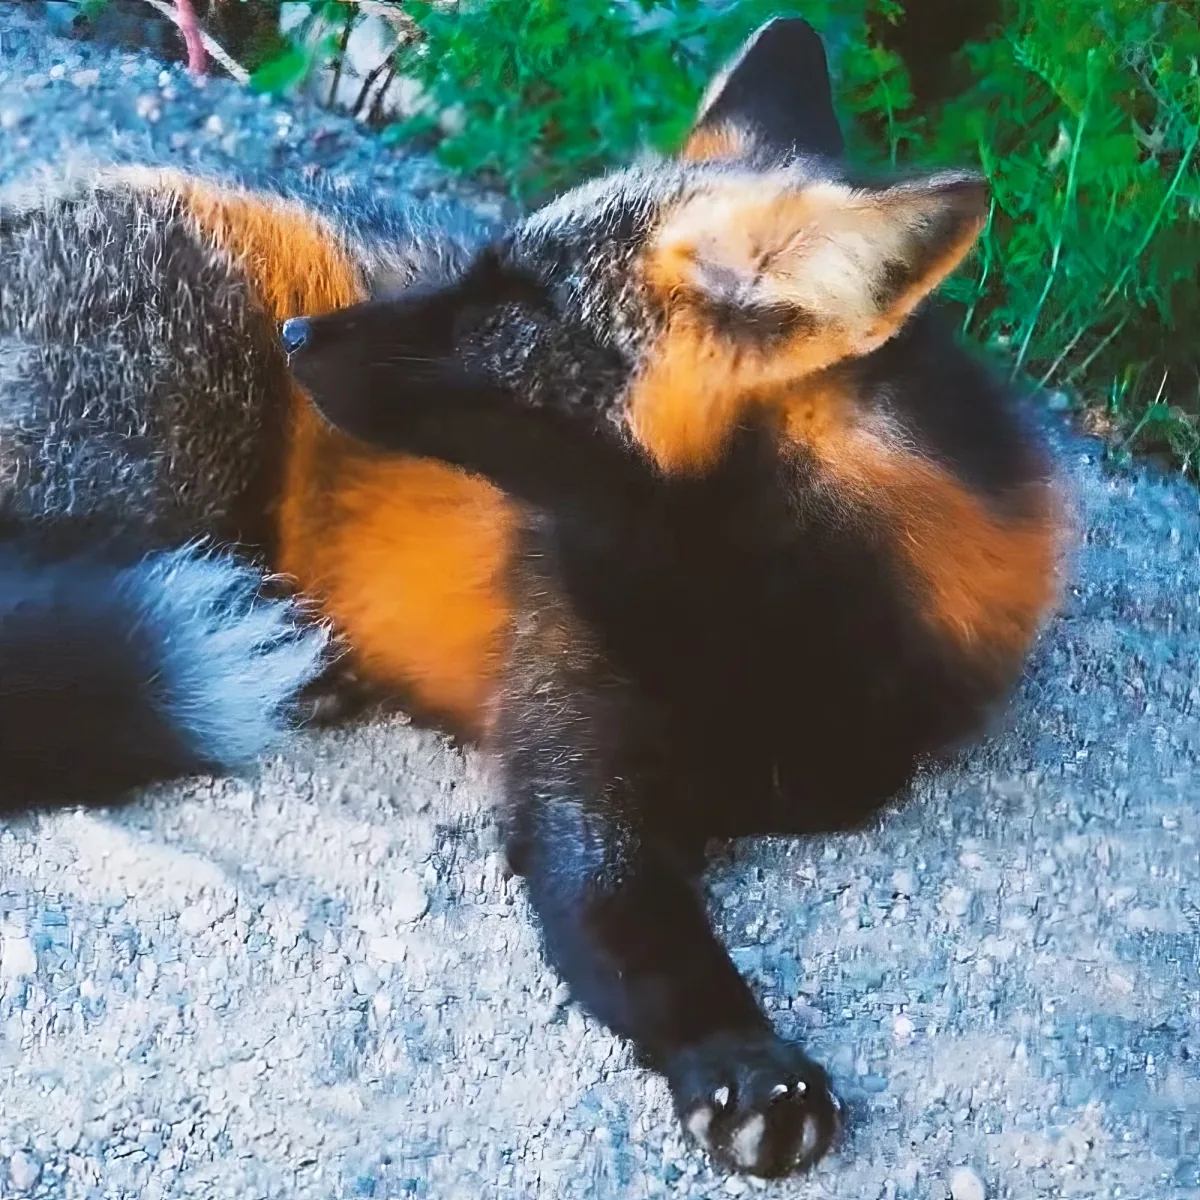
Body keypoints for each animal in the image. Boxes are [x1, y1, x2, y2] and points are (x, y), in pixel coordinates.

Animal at [0, 17, 1063, 1178]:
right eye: (483, 268)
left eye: (517, 307)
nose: (302, 338)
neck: (750, 622)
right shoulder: (574, 780)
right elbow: (649, 940)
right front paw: (744, 1060)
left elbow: (836, 782)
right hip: (174, 453)